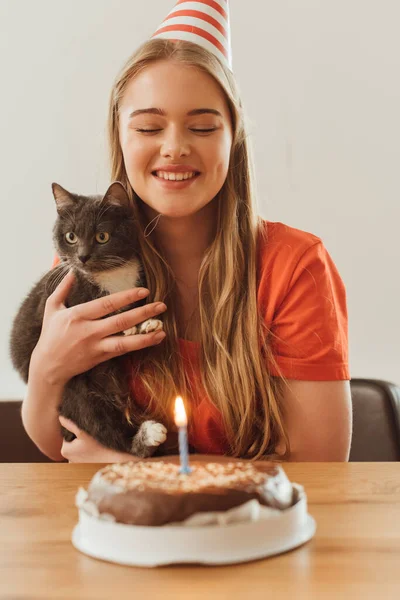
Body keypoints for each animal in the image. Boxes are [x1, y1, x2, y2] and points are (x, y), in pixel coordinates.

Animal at [9, 180, 169, 458]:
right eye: (71, 237)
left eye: (101, 236)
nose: (82, 256)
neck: (112, 276)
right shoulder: (60, 300)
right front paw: (127, 328)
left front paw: (146, 324)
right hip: (75, 392)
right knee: (101, 424)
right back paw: (146, 437)